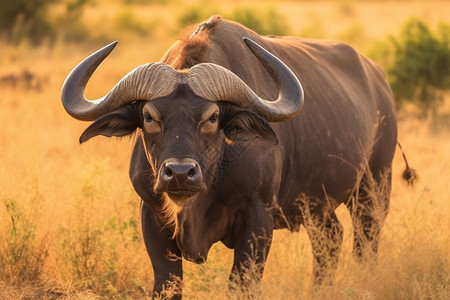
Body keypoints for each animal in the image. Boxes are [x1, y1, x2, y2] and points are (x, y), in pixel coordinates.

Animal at [62, 16, 412, 298]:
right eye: (149, 116)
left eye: (212, 117)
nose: (179, 173)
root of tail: (380, 83)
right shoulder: (152, 217)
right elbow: (166, 286)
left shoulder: (257, 221)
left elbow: (241, 286)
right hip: (317, 205)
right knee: (330, 241)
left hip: (373, 187)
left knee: (365, 242)